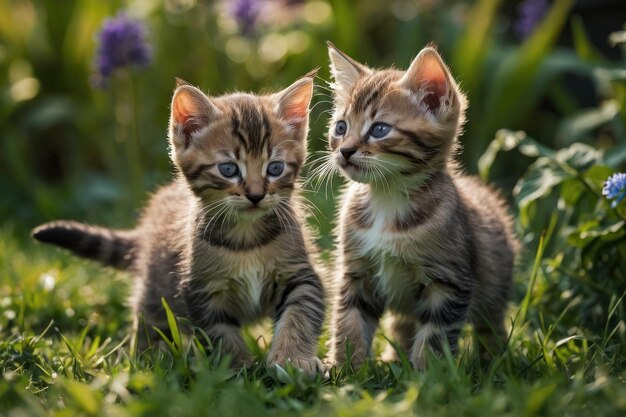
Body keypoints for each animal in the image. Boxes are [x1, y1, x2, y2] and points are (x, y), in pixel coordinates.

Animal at [33, 72, 326, 374]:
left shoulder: (300, 275)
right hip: (155, 290)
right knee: (148, 321)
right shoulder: (200, 290)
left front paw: (293, 359)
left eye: (275, 168)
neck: (247, 237)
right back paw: (148, 359)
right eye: (229, 169)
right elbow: (219, 333)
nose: (256, 195)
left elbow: (300, 314)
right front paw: (235, 368)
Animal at [324, 41, 516, 368]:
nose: (345, 151)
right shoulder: (356, 272)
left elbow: (434, 336)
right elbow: (349, 321)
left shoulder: (450, 281)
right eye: (340, 127)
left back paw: (494, 360)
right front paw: (345, 368)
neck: (386, 198)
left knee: (490, 325)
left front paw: (427, 374)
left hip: (495, 284)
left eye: (379, 129)